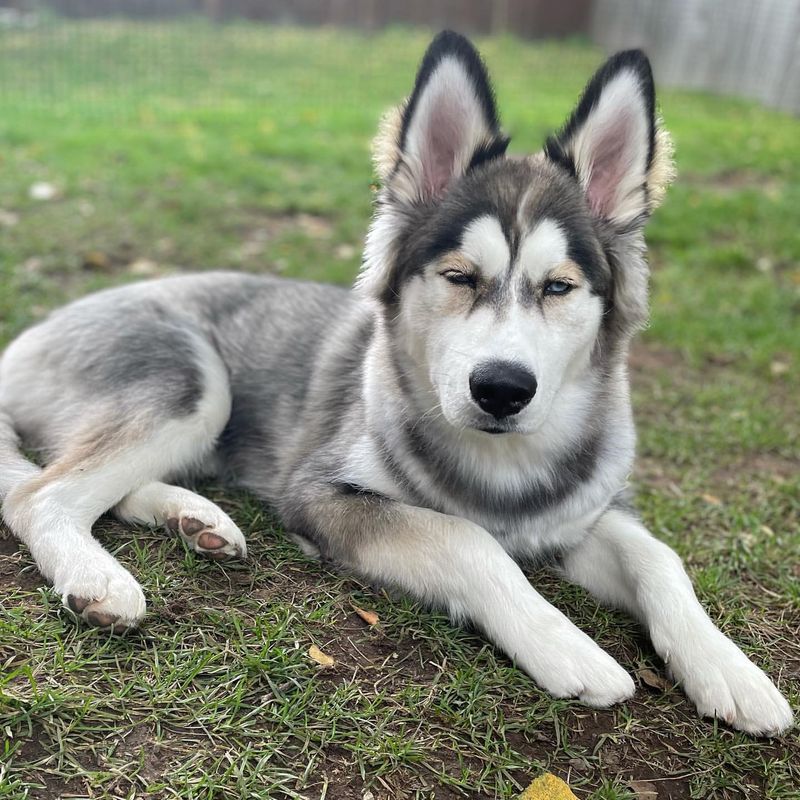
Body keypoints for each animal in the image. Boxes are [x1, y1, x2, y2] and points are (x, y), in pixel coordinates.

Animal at [0, 31, 792, 736]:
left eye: (559, 287)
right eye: (459, 277)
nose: (502, 389)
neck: (503, 462)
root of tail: (34, 331)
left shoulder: (582, 513)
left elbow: (662, 559)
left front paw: (734, 672)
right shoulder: (322, 496)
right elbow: (466, 538)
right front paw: (568, 646)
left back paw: (195, 520)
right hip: (194, 385)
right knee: (37, 493)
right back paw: (99, 578)